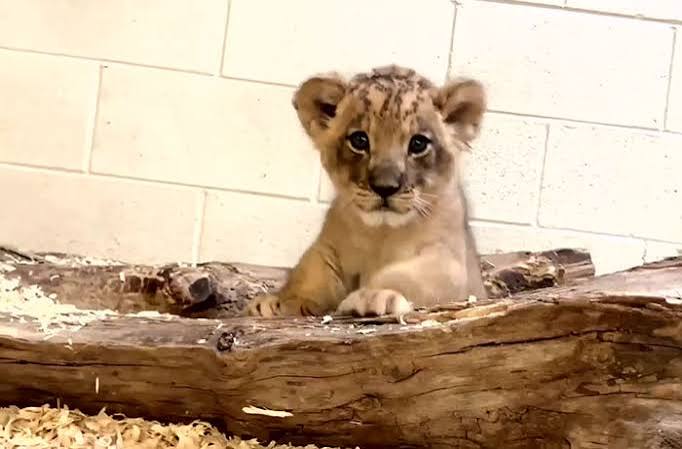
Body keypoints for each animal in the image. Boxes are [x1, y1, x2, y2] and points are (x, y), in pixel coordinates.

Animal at [247, 65, 488, 318]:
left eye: (418, 144)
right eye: (359, 140)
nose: (385, 187)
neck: (380, 235)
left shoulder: (450, 263)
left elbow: (406, 276)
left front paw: (374, 295)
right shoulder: (326, 249)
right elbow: (310, 274)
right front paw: (276, 303)